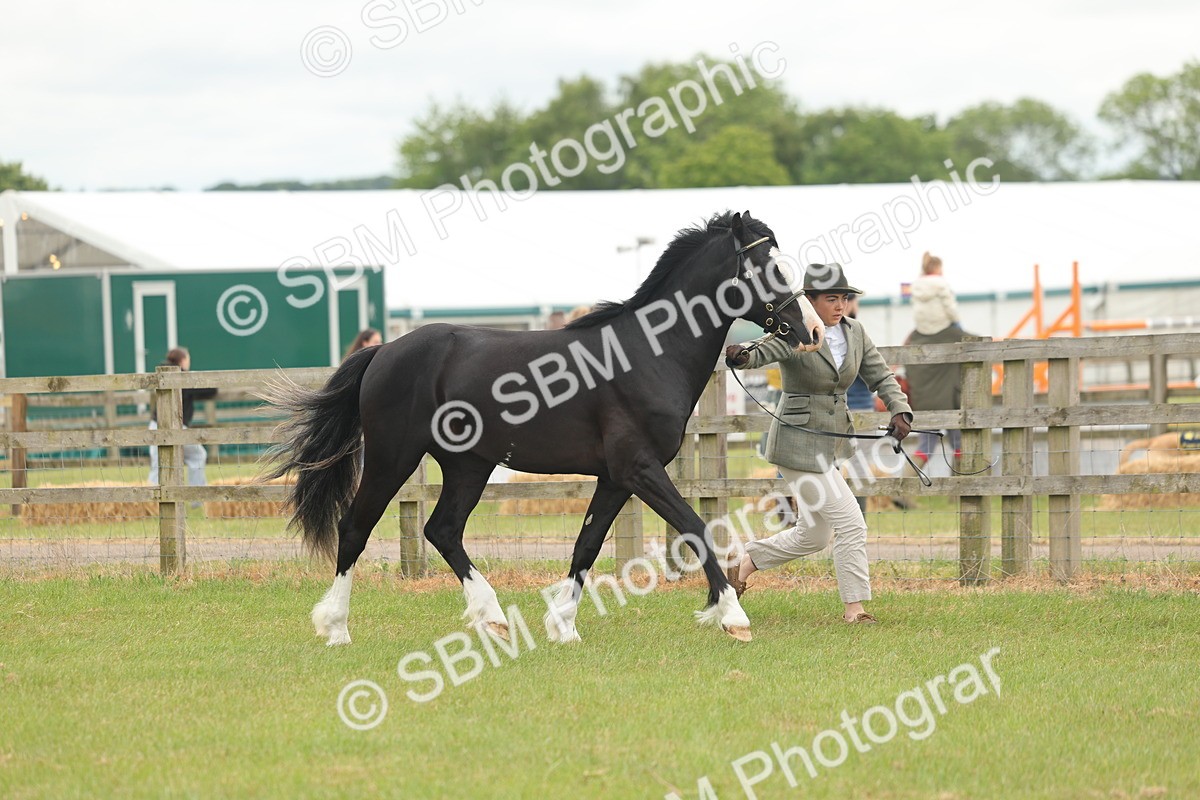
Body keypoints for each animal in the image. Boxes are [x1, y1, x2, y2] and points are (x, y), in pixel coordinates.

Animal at [266, 210, 824, 646]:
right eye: (769, 268)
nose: (814, 331)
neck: (648, 353)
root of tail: (384, 351)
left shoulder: (615, 478)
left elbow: (587, 545)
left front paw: (563, 626)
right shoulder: (640, 469)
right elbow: (696, 527)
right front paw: (733, 616)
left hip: (469, 465)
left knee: (442, 530)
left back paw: (492, 617)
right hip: (392, 457)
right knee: (356, 528)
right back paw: (336, 627)